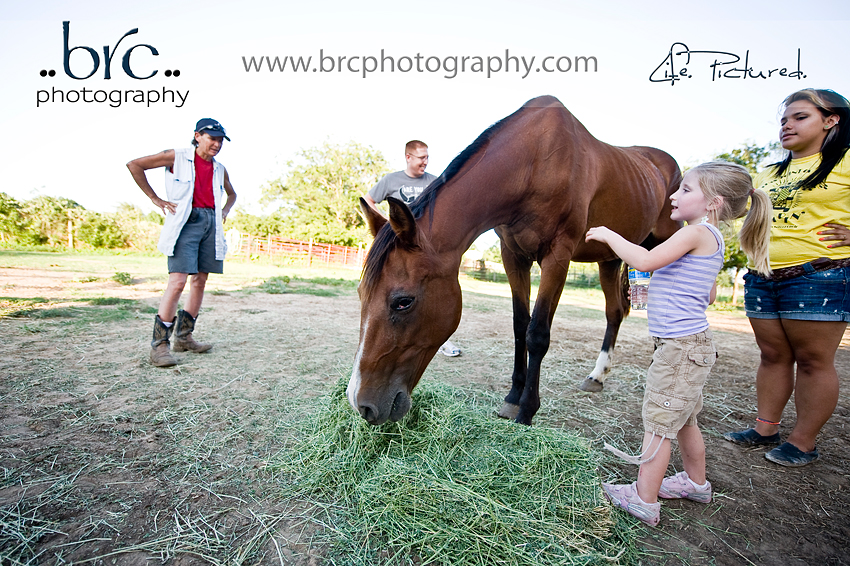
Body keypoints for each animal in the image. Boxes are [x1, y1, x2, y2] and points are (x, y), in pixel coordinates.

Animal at [348, 95, 682, 426]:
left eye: (403, 302)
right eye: (360, 293)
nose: (360, 404)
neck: (535, 164)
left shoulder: (557, 256)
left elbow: (537, 333)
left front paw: (527, 410)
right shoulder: (514, 256)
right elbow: (520, 325)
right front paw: (512, 398)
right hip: (609, 259)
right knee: (615, 312)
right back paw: (597, 376)